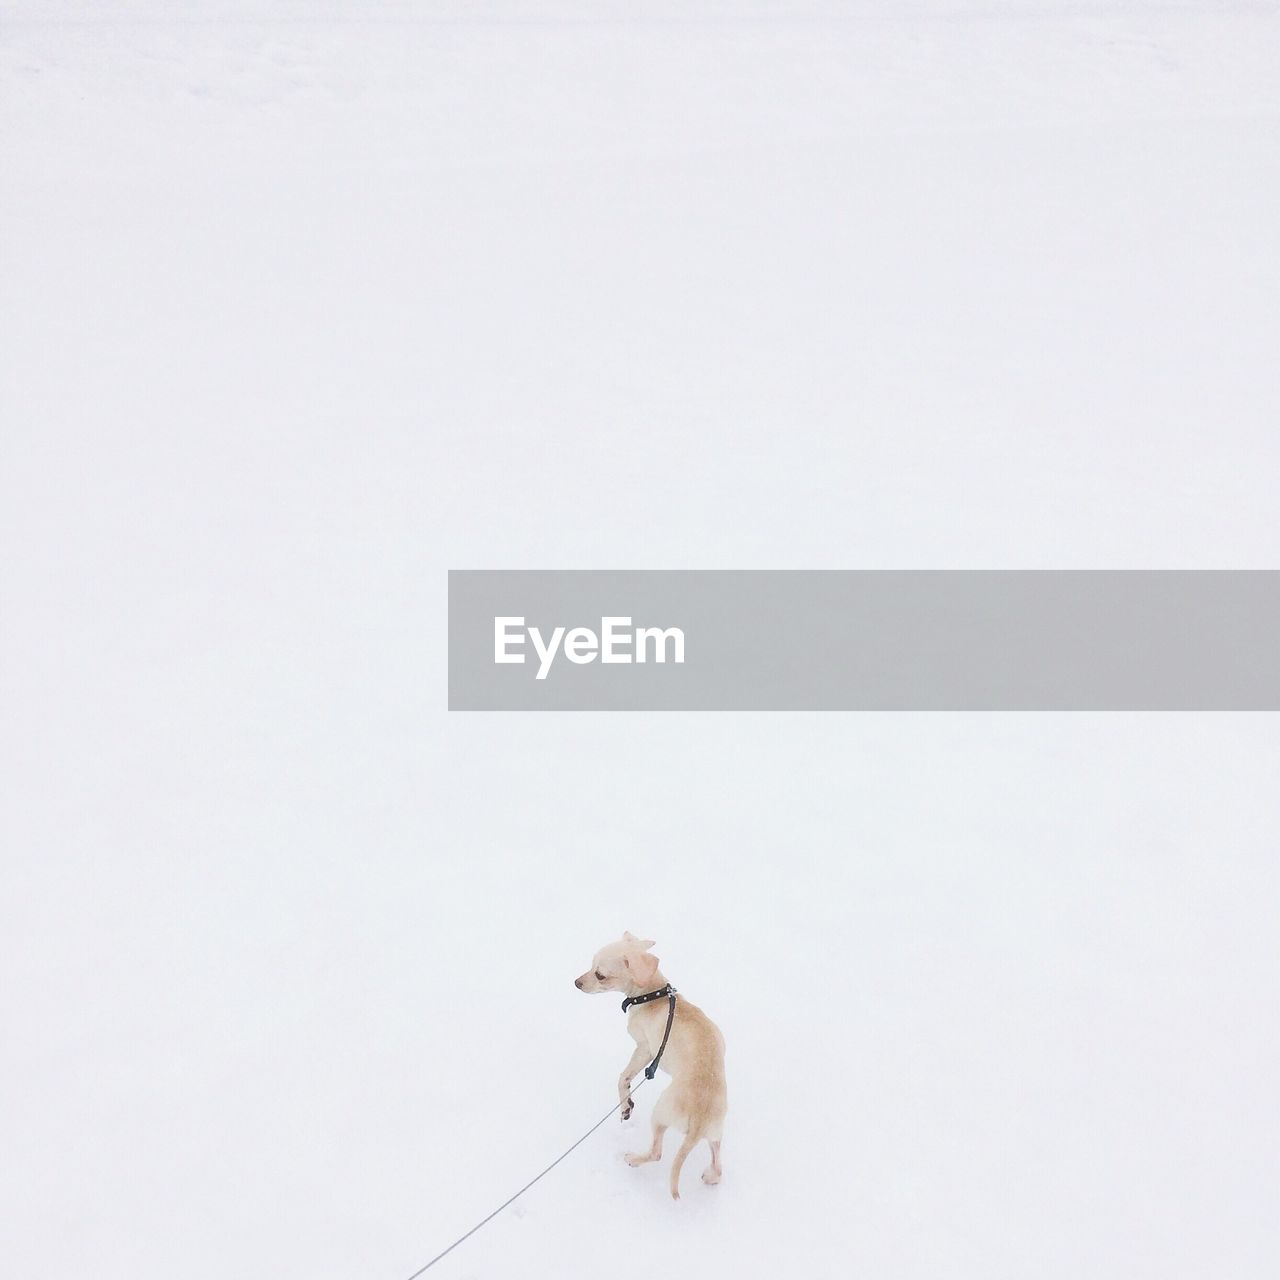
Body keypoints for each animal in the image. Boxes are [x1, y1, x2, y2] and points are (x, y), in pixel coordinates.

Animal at [576, 931, 727, 1198]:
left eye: (599, 974)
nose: (576, 982)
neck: (654, 994)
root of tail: (699, 1121)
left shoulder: (644, 1048)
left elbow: (623, 1077)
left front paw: (625, 1106)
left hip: (660, 1114)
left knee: (657, 1153)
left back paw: (633, 1159)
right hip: (715, 1134)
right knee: (718, 1167)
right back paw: (710, 1176)